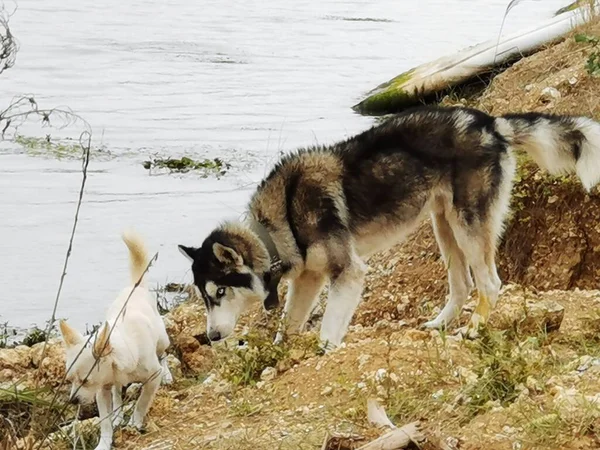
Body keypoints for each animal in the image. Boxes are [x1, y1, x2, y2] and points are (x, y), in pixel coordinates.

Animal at [58, 230, 172, 450]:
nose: (73, 400)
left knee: (163, 354)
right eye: (69, 380)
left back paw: (169, 374)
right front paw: (104, 442)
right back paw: (118, 414)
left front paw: (135, 422)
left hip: (162, 341)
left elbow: (142, 402)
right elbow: (105, 421)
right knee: (117, 393)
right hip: (113, 386)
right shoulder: (101, 390)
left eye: (85, 381)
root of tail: (135, 287)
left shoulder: (152, 378)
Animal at [178, 106, 600, 352]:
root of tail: (489, 123)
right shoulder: (309, 279)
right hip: (444, 226)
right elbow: (288, 327)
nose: (211, 337)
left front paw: (324, 353)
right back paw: (440, 325)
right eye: (204, 298)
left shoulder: (348, 274)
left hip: (467, 226)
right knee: (463, 285)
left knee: (490, 284)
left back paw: (473, 330)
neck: (279, 220)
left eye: (219, 292)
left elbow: (327, 333)